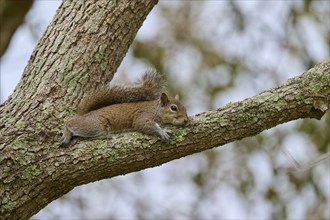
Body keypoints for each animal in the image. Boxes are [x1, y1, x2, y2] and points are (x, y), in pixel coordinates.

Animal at [61, 69, 189, 144]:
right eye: (173, 108)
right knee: (69, 123)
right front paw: (161, 131)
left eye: (185, 108)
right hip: (94, 125)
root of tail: (84, 114)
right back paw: (67, 134)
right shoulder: (143, 115)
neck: (155, 109)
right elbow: (142, 124)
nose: (186, 120)